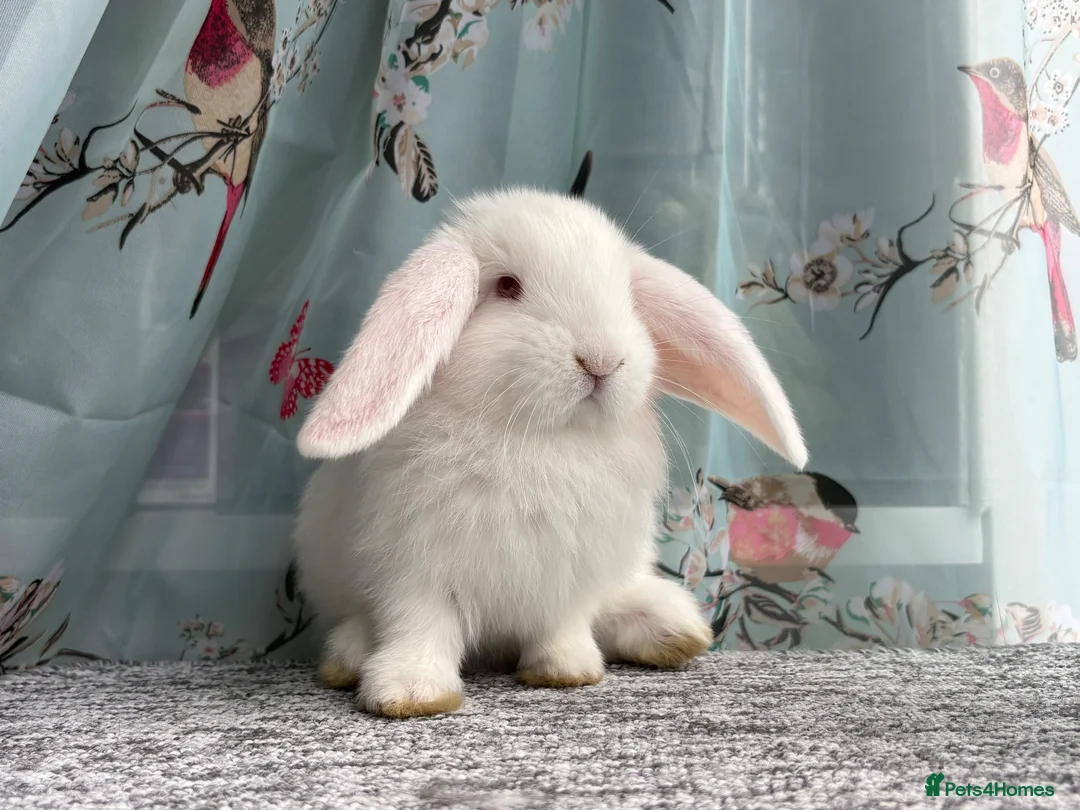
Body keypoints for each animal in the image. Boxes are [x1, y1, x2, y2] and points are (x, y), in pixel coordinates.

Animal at [292, 187, 807, 719]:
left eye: (626, 295)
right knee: (355, 621)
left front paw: (566, 670)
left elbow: (562, 626)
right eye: (507, 287)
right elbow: (420, 627)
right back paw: (348, 659)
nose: (602, 359)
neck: (542, 438)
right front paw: (412, 692)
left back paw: (673, 632)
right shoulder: (414, 570)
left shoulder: (567, 576)